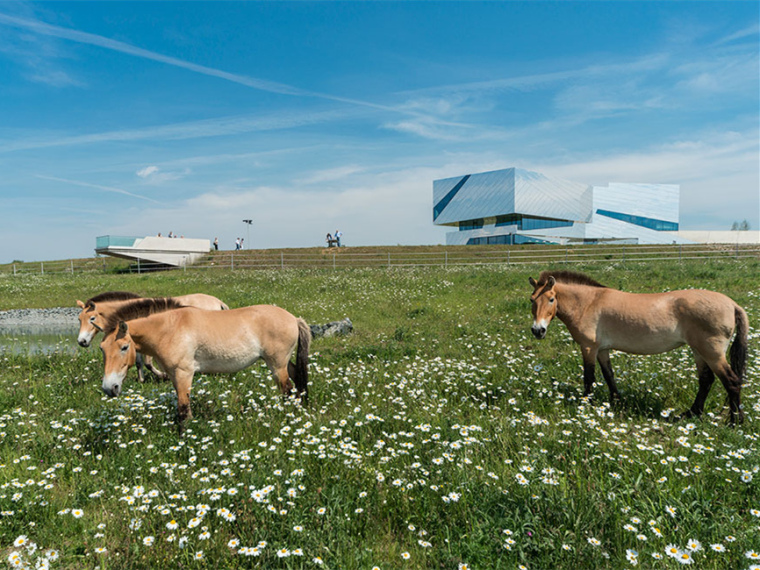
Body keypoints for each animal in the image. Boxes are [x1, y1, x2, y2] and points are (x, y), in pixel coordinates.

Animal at [77, 290, 233, 380]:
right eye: (79, 319)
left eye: (92, 318)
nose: (81, 341)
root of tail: (218, 301)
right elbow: (139, 362)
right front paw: (141, 380)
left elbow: (148, 363)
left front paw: (163, 375)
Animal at [99, 298, 310, 426]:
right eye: (102, 348)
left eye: (124, 347)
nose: (110, 388)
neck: (170, 327)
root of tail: (294, 318)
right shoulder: (175, 375)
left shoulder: (184, 373)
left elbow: (183, 409)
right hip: (282, 363)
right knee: (298, 380)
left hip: (277, 365)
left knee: (287, 389)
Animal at [528, 270, 748, 422]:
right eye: (532, 300)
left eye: (551, 299)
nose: (538, 330)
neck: (588, 303)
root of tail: (732, 304)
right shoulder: (602, 349)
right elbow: (609, 375)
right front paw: (617, 402)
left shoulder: (589, 348)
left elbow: (589, 378)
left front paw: (586, 406)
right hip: (699, 351)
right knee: (706, 381)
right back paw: (691, 414)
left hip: (712, 353)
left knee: (731, 382)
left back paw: (734, 422)